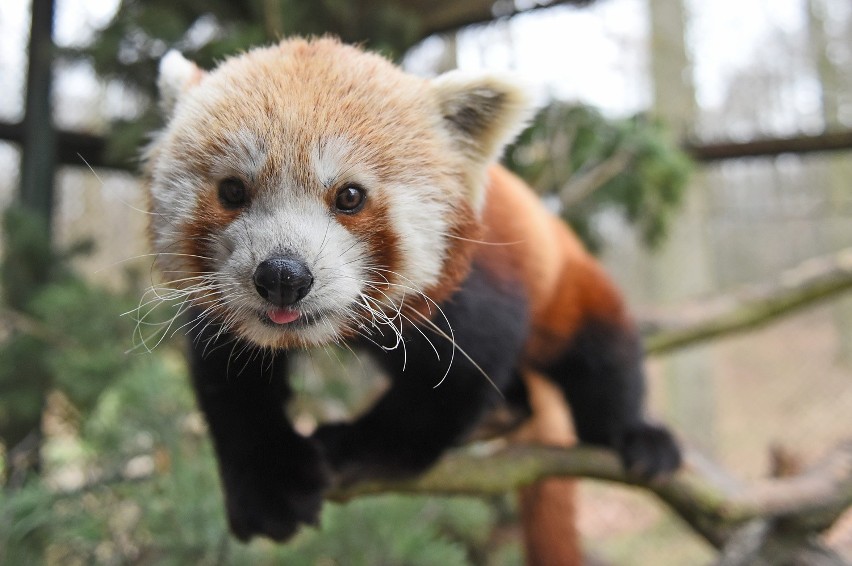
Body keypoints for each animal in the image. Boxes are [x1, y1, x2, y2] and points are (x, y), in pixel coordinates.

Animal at [145, 37, 680, 560]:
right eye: (233, 191)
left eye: (350, 196)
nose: (282, 275)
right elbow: (231, 381)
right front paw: (269, 488)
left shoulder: (475, 286)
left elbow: (446, 387)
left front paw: (353, 446)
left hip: (567, 285)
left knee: (603, 356)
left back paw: (635, 435)